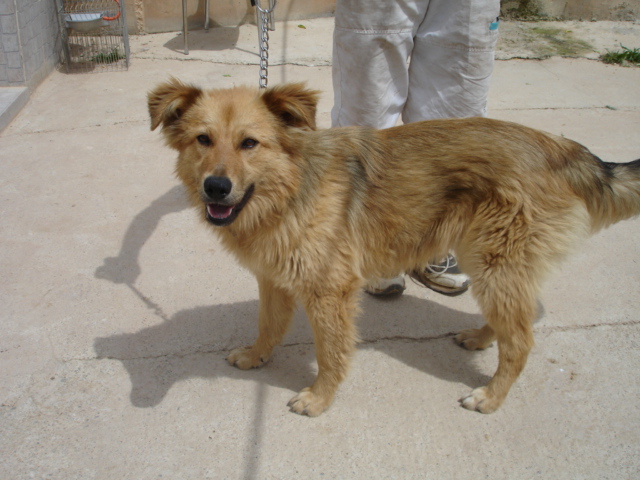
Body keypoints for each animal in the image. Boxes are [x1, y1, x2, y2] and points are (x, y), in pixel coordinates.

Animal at [148, 79, 640, 416]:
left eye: (249, 143)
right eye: (203, 140)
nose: (215, 187)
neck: (290, 189)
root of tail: (565, 149)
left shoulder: (329, 292)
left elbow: (331, 352)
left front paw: (320, 399)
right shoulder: (275, 279)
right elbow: (268, 325)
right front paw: (255, 357)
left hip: (495, 262)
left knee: (521, 340)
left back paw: (490, 396)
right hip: (489, 262)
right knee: (513, 320)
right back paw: (481, 337)